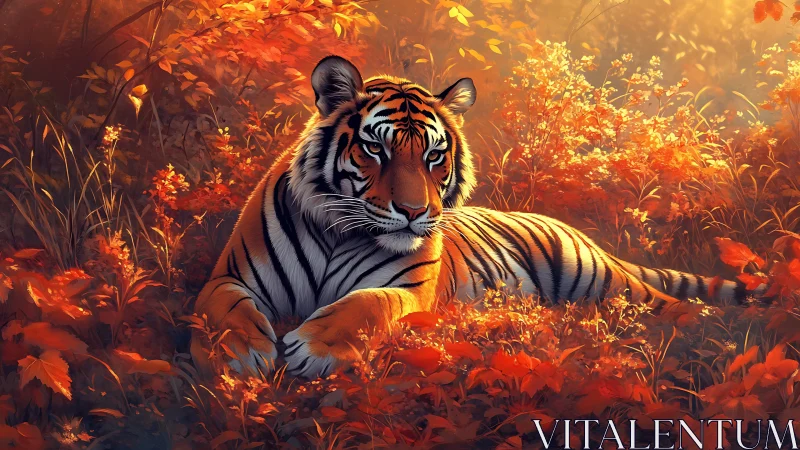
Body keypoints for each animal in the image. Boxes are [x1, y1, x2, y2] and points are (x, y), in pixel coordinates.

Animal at [191, 55, 767, 379]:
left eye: (433, 156)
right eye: (375, 149)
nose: (413, 212)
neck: (341, 234)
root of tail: (579, 232)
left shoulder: (408, 291)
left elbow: (363, 306)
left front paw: (311, 348)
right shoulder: (230, 277)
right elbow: (224, 311)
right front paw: (237, 356)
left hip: (600, 280)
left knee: (666, 302)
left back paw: (709, 328)